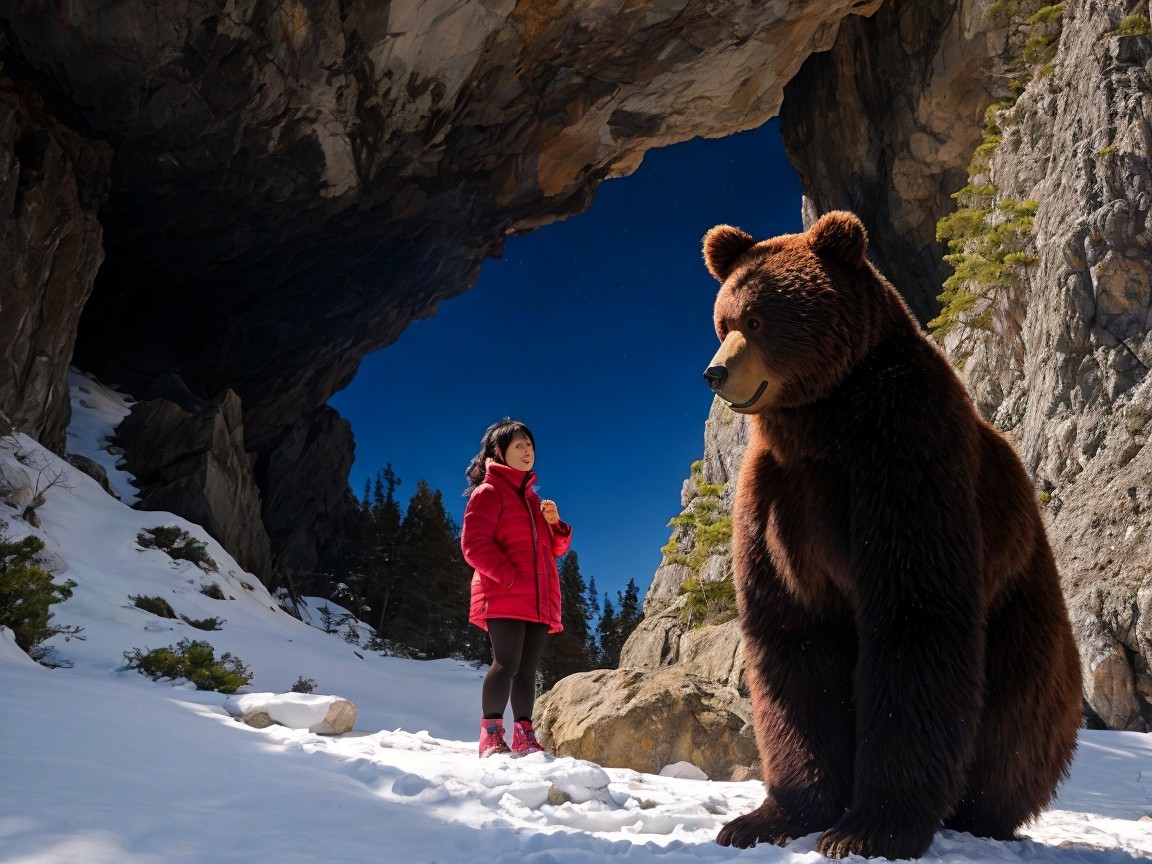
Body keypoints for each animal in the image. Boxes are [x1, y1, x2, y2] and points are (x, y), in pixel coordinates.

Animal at [700, 210, 1082, 860]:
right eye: (723, 319)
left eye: (756, 319)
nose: (715, 371)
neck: (825, 422)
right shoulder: (778, 500)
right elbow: (794, 641)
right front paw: (764, 818)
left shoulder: (903, 460)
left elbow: (914, 618)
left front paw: (868, 828)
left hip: (1023, 616)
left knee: (1015, 727)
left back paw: (981, 811)